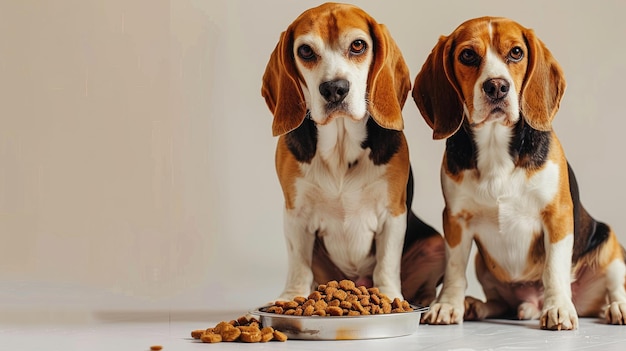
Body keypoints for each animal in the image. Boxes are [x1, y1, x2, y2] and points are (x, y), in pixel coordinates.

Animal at [260, 2, 444, 306]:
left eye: (358, 45)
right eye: (305, 50)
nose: (334, 88)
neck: (340, 144)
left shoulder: (392, 213)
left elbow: (387, 263)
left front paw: (390, 297)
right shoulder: (295, 213)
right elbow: (298, 264)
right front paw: (291, 297)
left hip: (434, 245)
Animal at [410, 16, 624, 330]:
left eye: (516, 53)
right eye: (467, 55)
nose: (497, 87)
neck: (495, 145)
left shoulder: (558, 216)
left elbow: (554, 269)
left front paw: (558, 308)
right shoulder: (455, 220)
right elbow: (454, 270)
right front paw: (447, 305)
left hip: (609, 246)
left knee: (615, 286)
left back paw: (616, 307)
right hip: (483, 265)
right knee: (502, 304)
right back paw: (478, 306)